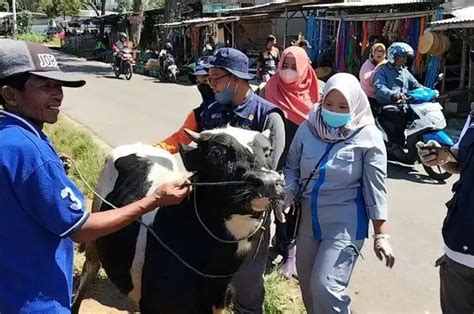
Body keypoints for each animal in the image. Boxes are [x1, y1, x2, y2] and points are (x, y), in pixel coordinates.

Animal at [71, 125, 286, 314]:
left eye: (268, 151)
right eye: (217, 152)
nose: (269, 182)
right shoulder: (155, 305)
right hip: (94, 237)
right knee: (89, 270)